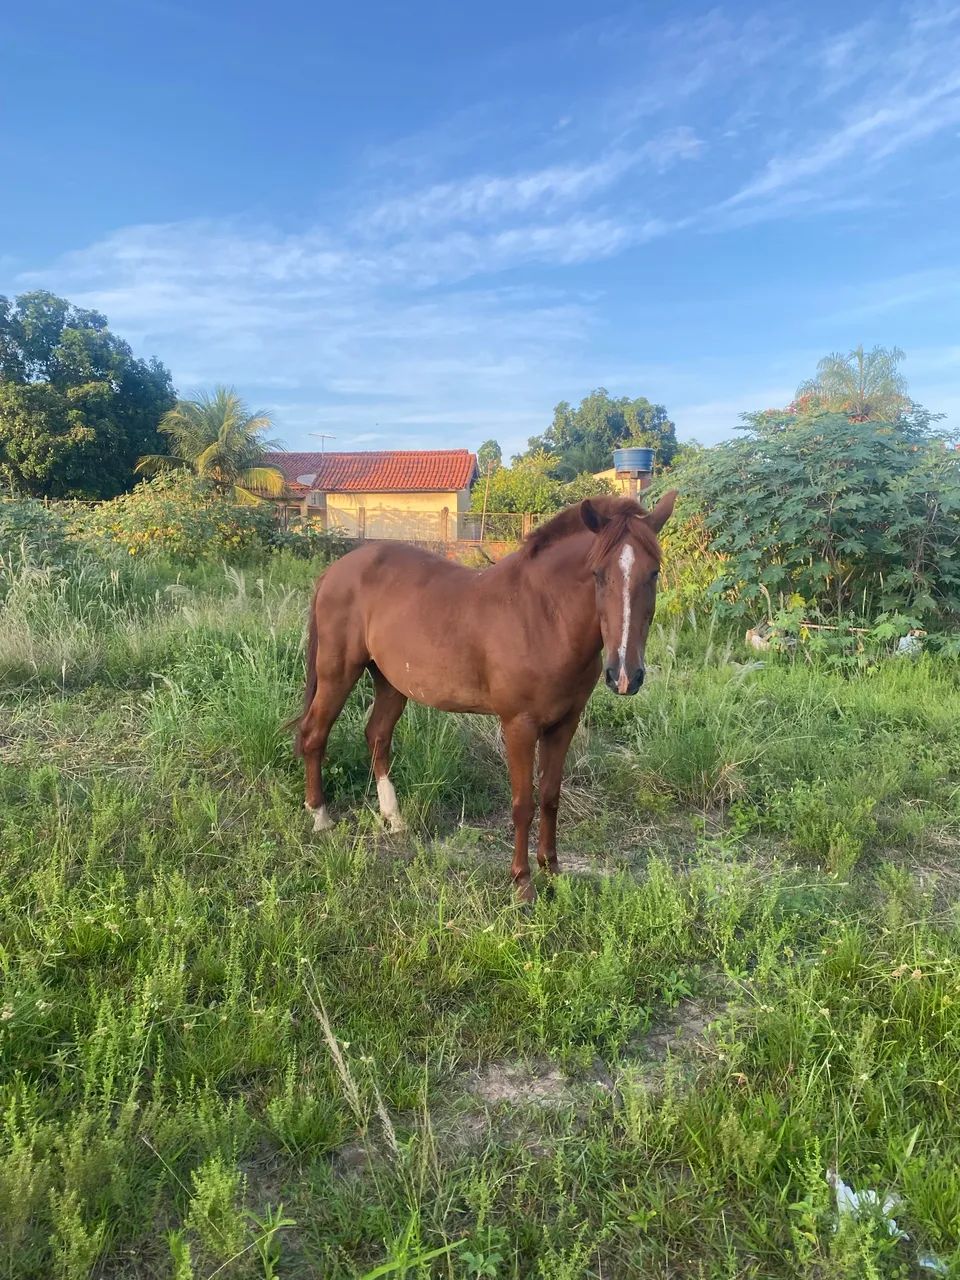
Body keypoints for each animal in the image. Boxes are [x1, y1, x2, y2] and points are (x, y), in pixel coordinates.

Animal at [293, 491, 677, 899]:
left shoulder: (564, 724)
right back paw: (320, 817)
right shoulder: (519, 725)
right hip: (337, 674)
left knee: (377, 736)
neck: (541, 616)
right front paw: (523, 883)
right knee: (314, 734)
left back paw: (393, 819)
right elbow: (523, 803)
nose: (625, 676)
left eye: (653, 572)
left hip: (391, 683)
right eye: (598, 574)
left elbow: (550, 796)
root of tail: (336, 571)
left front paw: (552, 869)